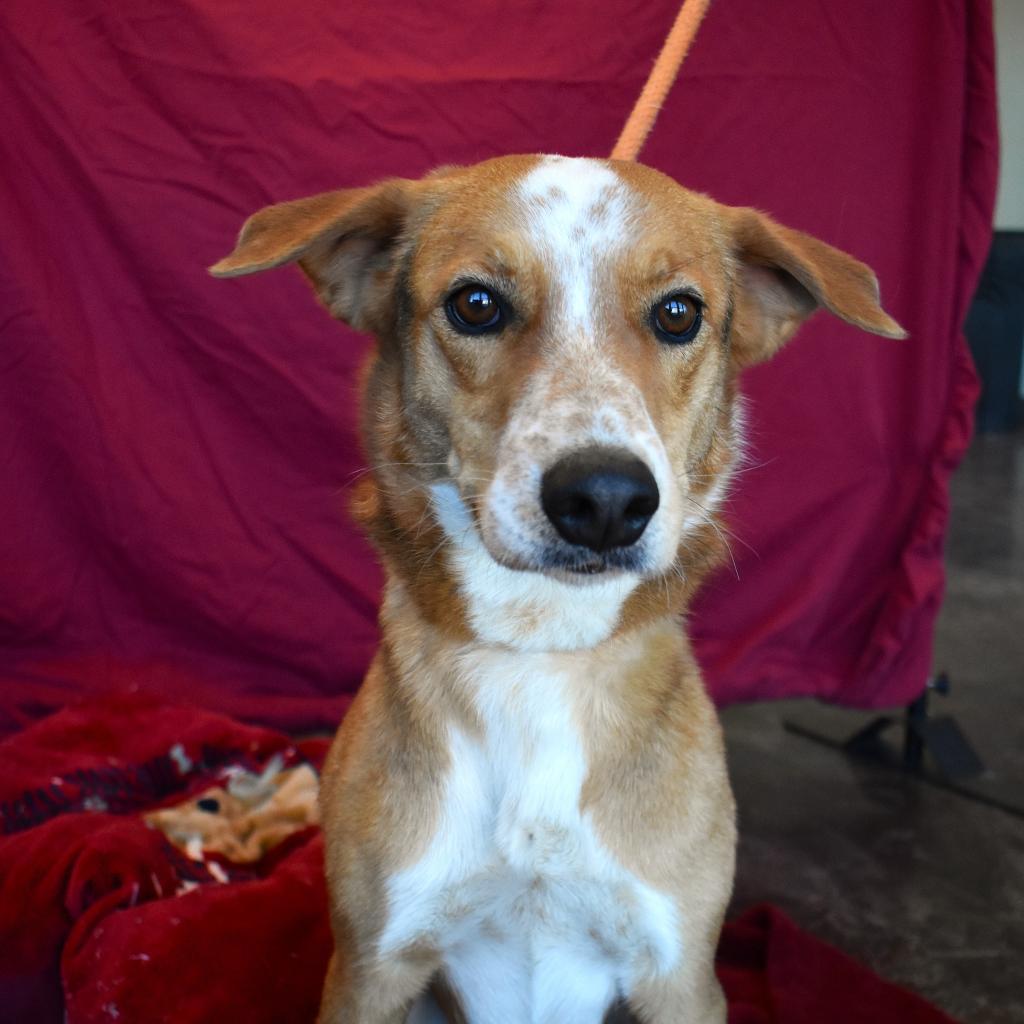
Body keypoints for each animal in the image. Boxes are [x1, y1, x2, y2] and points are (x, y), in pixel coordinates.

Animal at [211, 153, 901, 1024]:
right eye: (476, 304)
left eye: (679, 314)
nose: (605, 500)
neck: (537, 650)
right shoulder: (370, 968)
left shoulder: (682, 979)